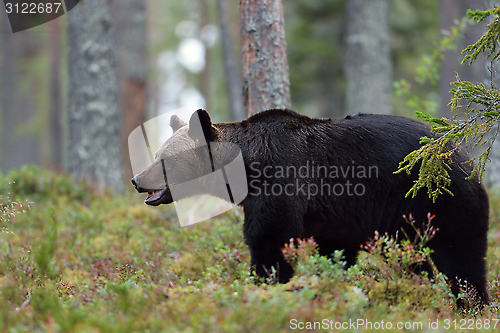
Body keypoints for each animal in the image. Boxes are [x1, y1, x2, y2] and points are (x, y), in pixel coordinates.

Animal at [132, 109, 488, 306]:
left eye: (163, 159)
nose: (137, 180)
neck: (246, 168)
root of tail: (465, 154)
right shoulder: (336, 217)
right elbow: (333, 248)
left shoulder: (281, 182)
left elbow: (270, 239)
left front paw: (264, 286)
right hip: (402, 220)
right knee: (413, 258)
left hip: (439, 198)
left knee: (461, 255)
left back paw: (471, 304)